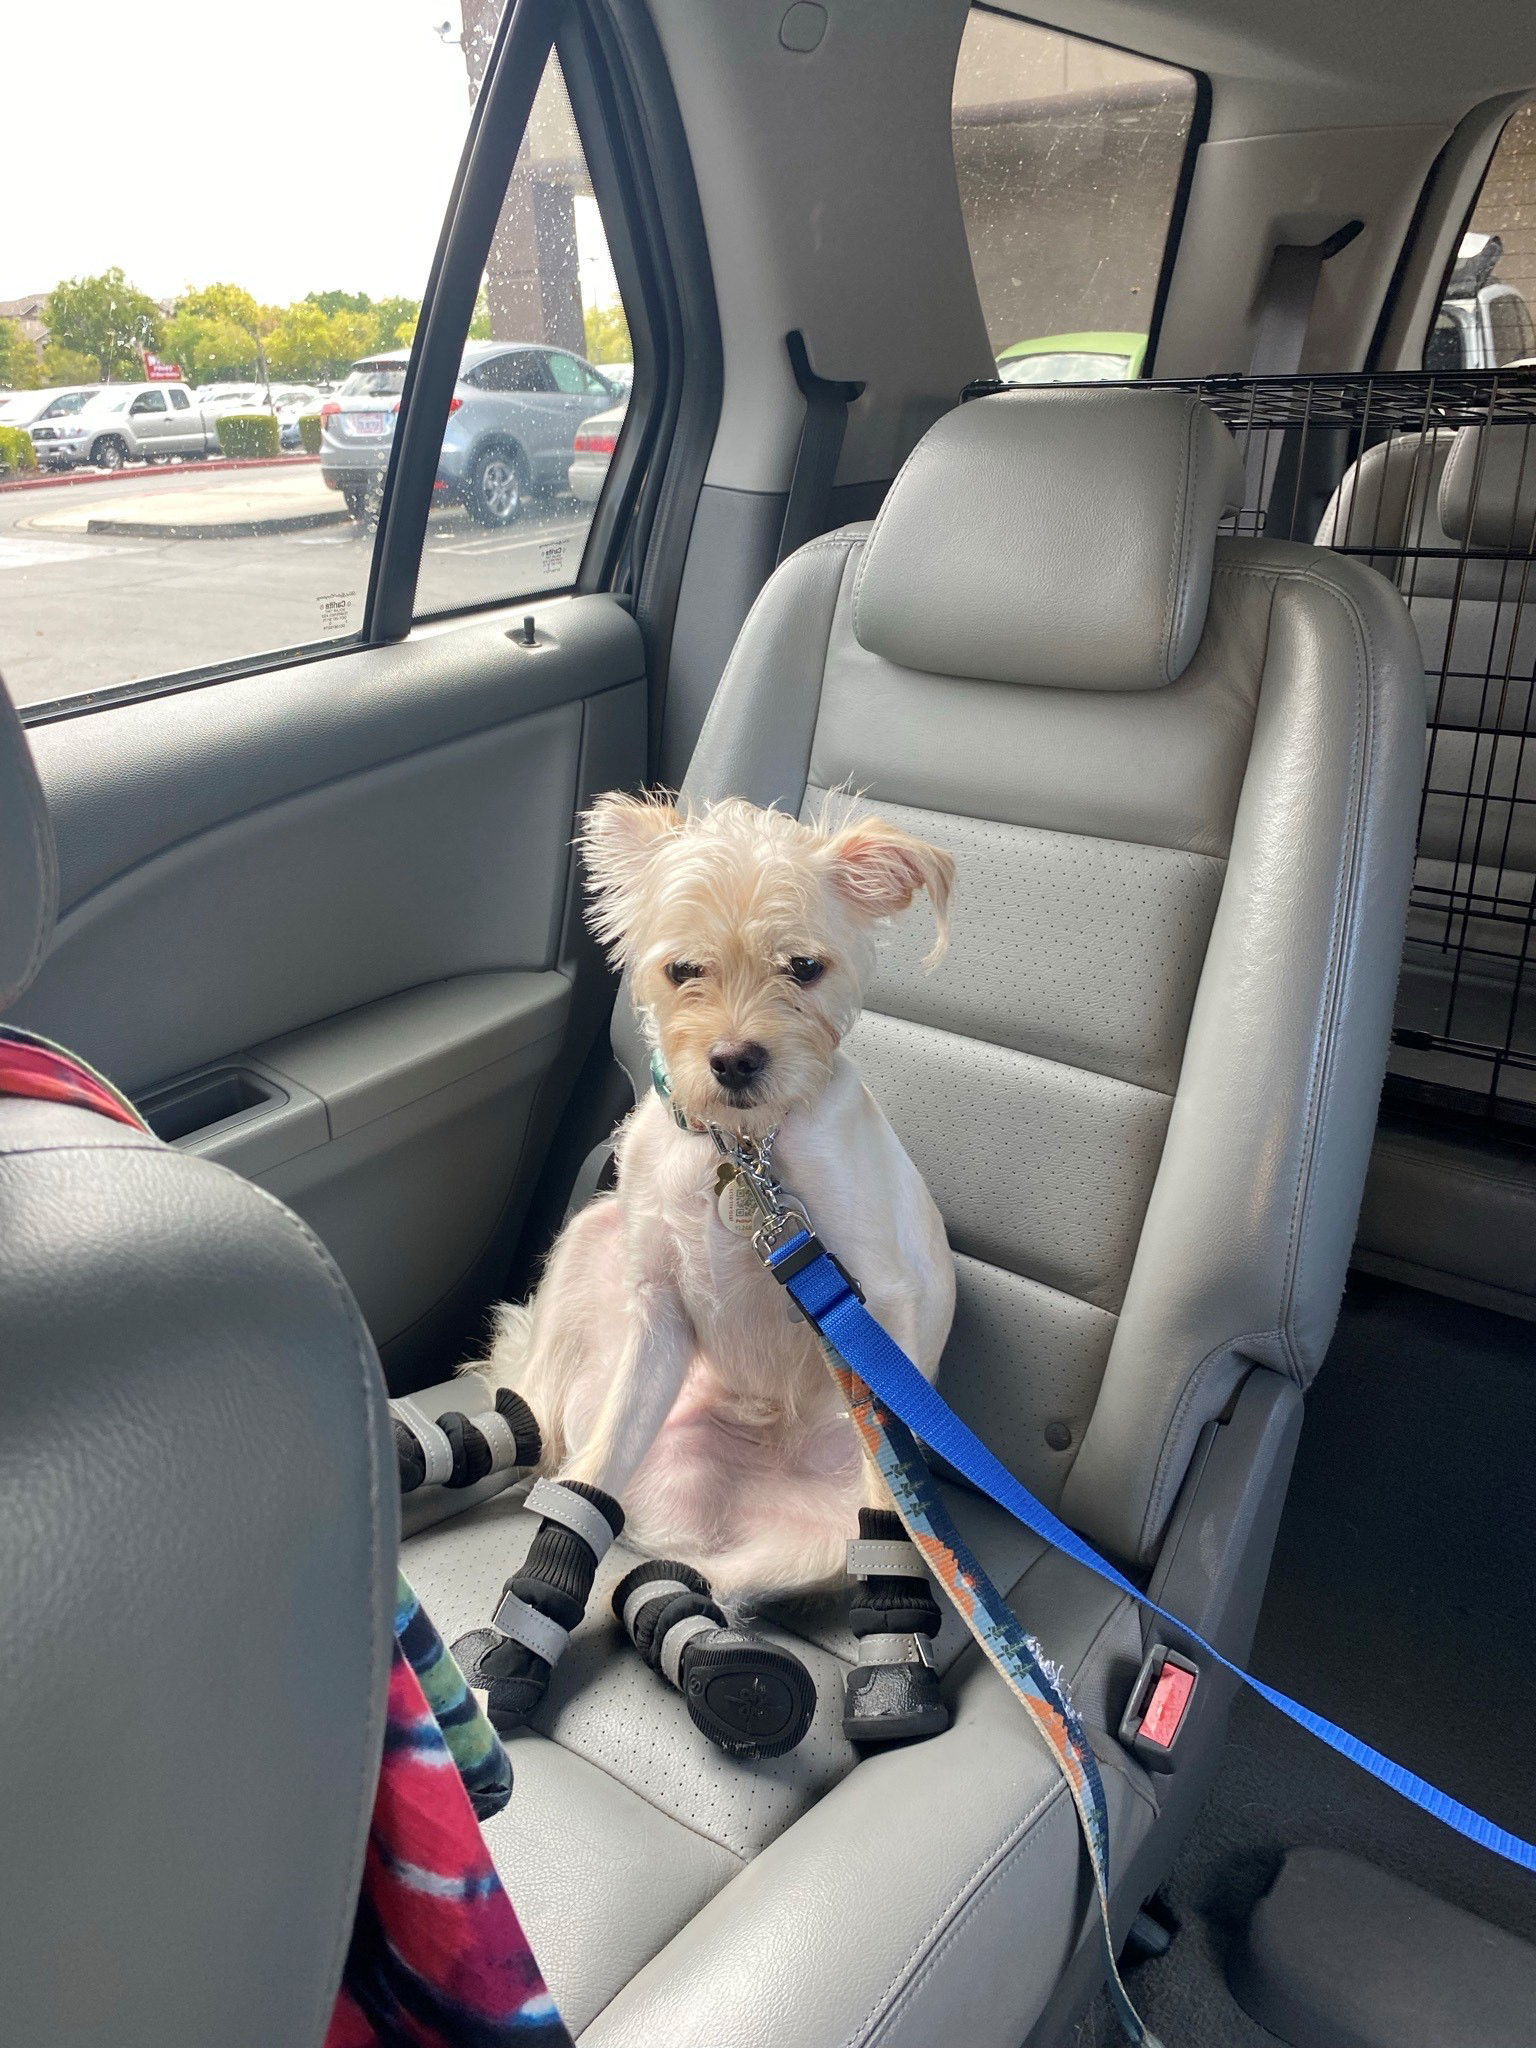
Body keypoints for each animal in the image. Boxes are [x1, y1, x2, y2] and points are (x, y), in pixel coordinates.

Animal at [462, 790, 958, 1753]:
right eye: (683, 968)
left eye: (804, 967)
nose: (734, 1059)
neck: (746, 1154)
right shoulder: (655, 1315)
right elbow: (581, 1503)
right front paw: (521, 1635)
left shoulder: (881, 1305)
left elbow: (886, 1506)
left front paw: (892, 1675)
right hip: (596, 1251)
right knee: (557, 1443)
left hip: (801, 1540)